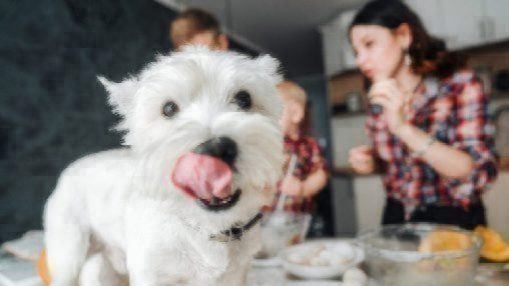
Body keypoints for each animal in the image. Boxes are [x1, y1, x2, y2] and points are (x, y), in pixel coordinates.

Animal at [43, 45, 284, 284]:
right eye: (168, 108)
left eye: (244, 99)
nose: (215, 149)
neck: (207, 227)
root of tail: (73, 166)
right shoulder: (151, 272)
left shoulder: (235, 274)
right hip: (69, 251)